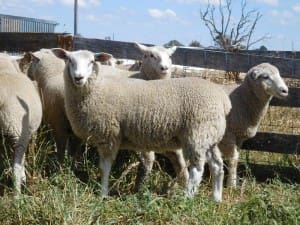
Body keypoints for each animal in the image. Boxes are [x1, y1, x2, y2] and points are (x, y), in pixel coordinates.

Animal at [51, 48, 231, 201]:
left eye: (91, 61)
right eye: (69, 60)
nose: (78, 77)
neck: (97, 90)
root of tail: (223, 99)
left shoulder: (109, 135)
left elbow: (104, 167)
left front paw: (103, 194)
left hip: (197, 134)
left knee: (197, 170)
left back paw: (187, 198)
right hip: (209, 136)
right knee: (217, 166)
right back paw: (216, 199)